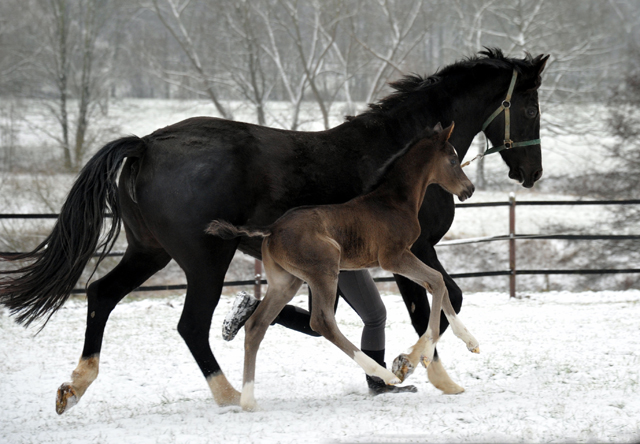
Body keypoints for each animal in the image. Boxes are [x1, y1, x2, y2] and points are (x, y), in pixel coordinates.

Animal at [210, 122, 480, 410]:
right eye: (453, 160)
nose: (469, 189)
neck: (394, 202)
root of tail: (272, 228)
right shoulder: (394, 257)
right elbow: (438, 281)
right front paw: (421, 357)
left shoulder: (403, 257)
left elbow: (437, 283)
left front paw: (470, 342)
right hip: (325, 269)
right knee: (321, 321)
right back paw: (383, 374)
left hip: (286, 281)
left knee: (257, 325)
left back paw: (248, 399)